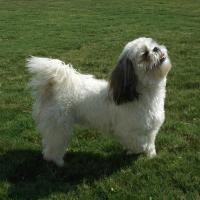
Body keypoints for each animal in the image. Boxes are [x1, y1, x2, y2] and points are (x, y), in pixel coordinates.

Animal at [27, 37, 172, 166]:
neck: (142, 94)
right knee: (53, 147)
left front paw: (151, 155)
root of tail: (54, 86)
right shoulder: (126, 130)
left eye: (154, 44)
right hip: (59, 127)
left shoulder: (150, 129)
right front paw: (137, 151)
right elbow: (140, 144)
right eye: (145, 54)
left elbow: (149, 143)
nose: (156, 48)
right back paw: (58, 162)